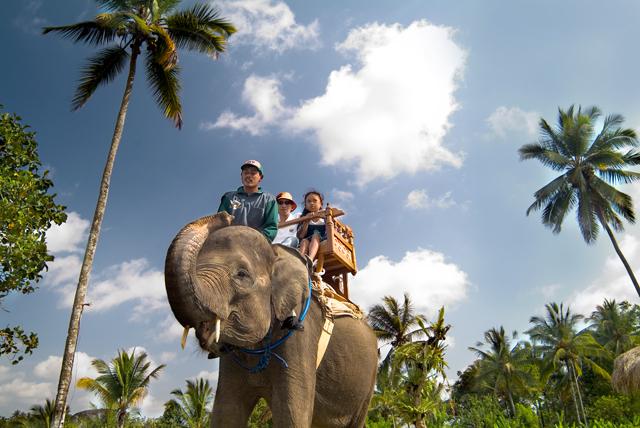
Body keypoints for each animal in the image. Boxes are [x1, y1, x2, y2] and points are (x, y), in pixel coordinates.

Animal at [164, 212, 378, 427]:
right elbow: (227, 411)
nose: (225, 215)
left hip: (369, 379)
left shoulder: (302, 331)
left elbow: (291, 411)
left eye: (241, 274)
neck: (278, 255)